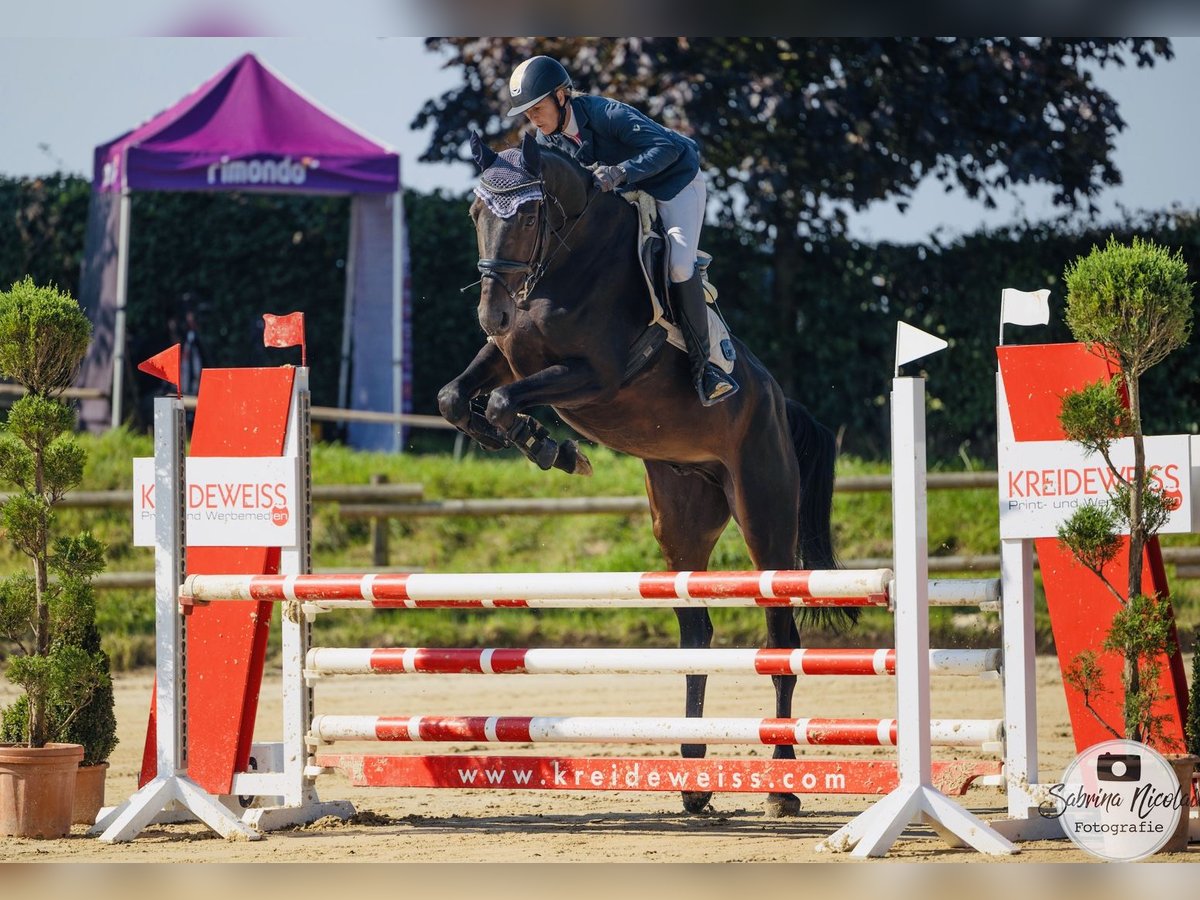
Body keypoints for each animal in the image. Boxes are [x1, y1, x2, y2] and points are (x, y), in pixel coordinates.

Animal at [436, 132, 849, 816]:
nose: (491, 313)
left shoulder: (594, 375)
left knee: (778, 635)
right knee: (697, 632)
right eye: (474, 213)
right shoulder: (507, 354)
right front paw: (542, 445)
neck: (568, 260)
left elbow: (499, 401)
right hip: (680, 517)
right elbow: (457, 397)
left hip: (765, 513)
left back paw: (782, 785)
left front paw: (550, 448)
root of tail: (777, 401)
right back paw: (693, 780)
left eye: (528, 214)